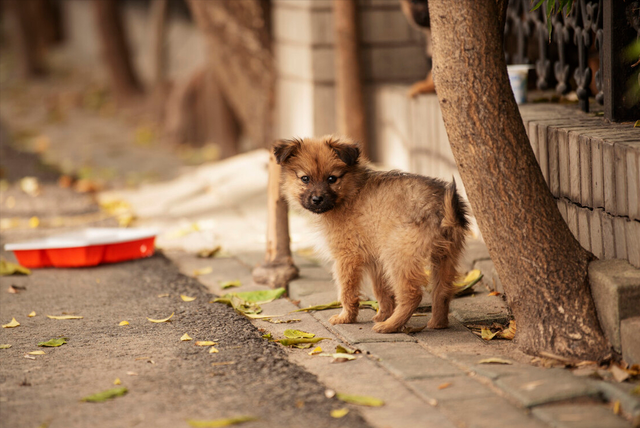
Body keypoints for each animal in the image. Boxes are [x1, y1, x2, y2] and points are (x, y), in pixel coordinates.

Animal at [276, 135, 470, 332]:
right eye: (305, 179)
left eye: (332, 178)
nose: (317, 199)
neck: (349, 193)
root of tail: (442, 208)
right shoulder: (375, 260)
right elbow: (381, 290)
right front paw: (382, 314)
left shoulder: (347, 256)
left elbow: (347, 291)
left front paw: (346, 317)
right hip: (445, 256)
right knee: (442, 291)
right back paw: (437, 323)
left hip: (398, 256)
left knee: (412, 294)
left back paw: (390, 326)